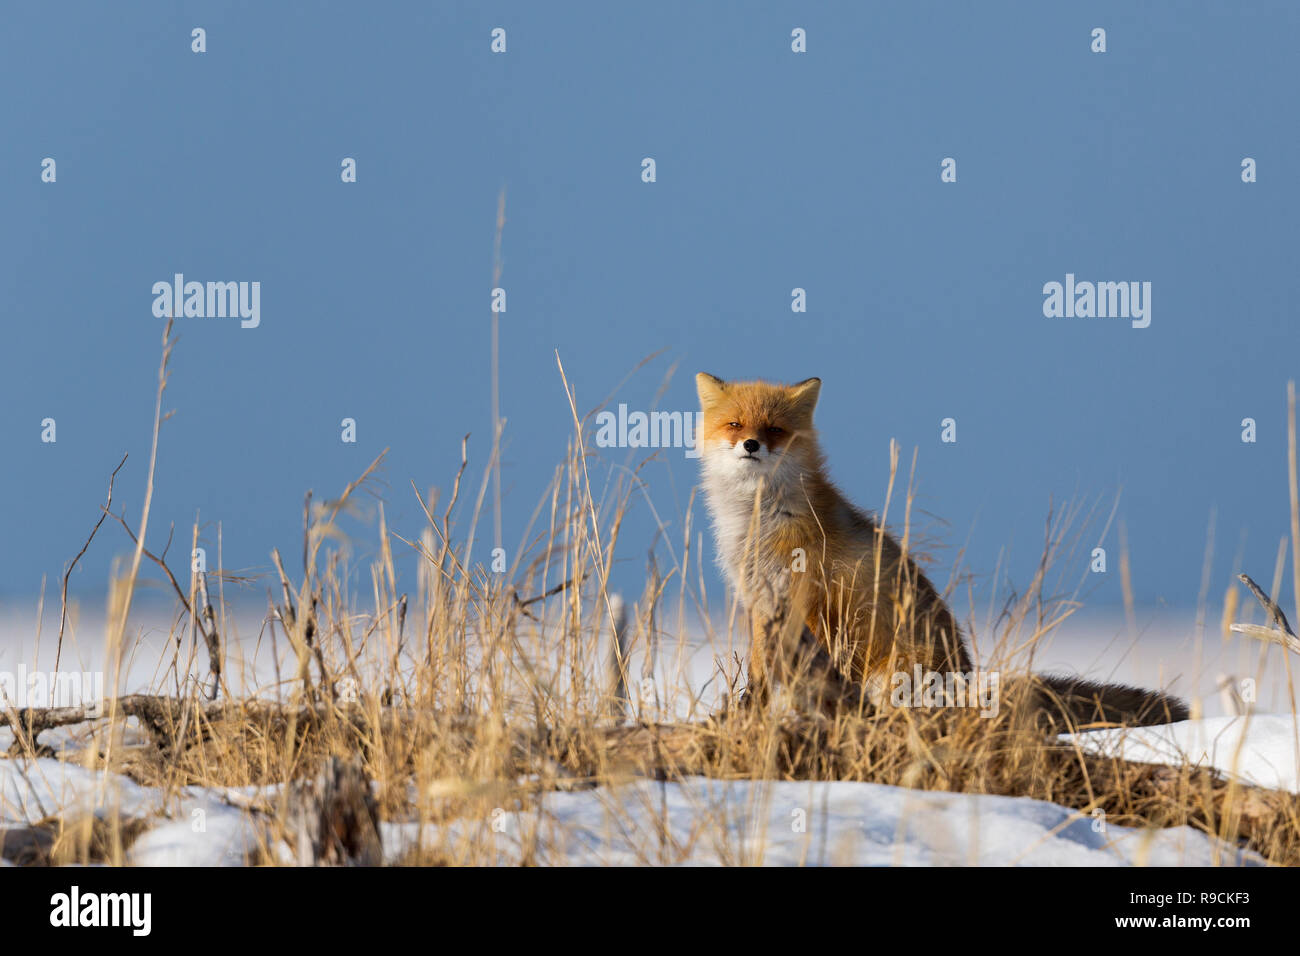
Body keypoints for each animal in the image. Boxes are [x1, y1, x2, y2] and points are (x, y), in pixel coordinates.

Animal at [702, 374, 1190, 733]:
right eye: (735, 425)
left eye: (775, 430)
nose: (751, 445)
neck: (758, 521)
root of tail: (965, 680)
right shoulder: (762, 604)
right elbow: (759, 678)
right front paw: (746, 715)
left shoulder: (815, 601)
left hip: (898, 668)